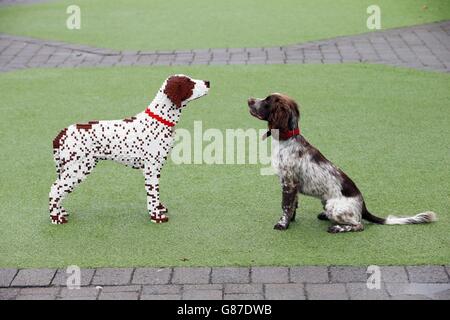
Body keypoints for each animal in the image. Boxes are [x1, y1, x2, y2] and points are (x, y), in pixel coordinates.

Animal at [48, 75, 210, 225]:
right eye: (189, 82)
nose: (208, 82)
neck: (158, 120)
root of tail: (62, 133)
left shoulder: (156, 168)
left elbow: (156, 194)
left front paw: (159, 209)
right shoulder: (151, 168)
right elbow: (152, 195)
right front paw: (156, 216)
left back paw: (61, 212)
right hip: (78, 169)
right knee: (55, 190)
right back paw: (56, 218)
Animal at [248, 92, 438, 232]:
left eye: (267, 101)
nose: (249, 100)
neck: (287, 139)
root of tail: (363, 206)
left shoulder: (289, 182)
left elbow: (286, 206)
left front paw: (283, 224)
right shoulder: (291, 185)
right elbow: (293, 204)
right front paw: (291, 221)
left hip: (334, 206)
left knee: (359, 225)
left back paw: (337, 227)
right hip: (326, 200)